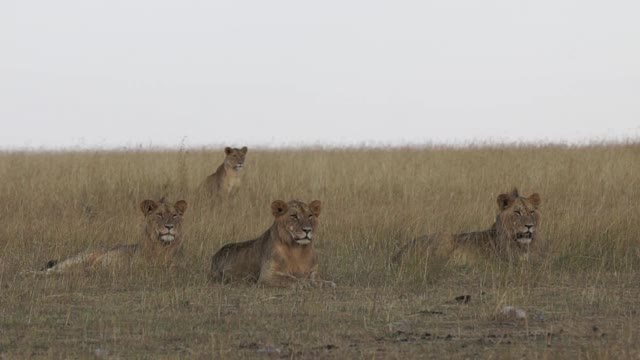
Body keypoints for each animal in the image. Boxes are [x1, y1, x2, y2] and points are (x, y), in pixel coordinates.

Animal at [37, 198, 188, 274]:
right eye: (159, 215)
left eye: (174, 215)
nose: (169, 226)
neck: (163, 246)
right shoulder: (135, 266)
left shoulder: (179, 266)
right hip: (79, 258)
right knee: (54, 268)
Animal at [392, 188, 544, 264]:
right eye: (517, 212)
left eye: (531, 212)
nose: (529, 226)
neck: (522, 245)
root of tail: (399, 252)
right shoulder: (507, 260)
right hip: (445, 239)